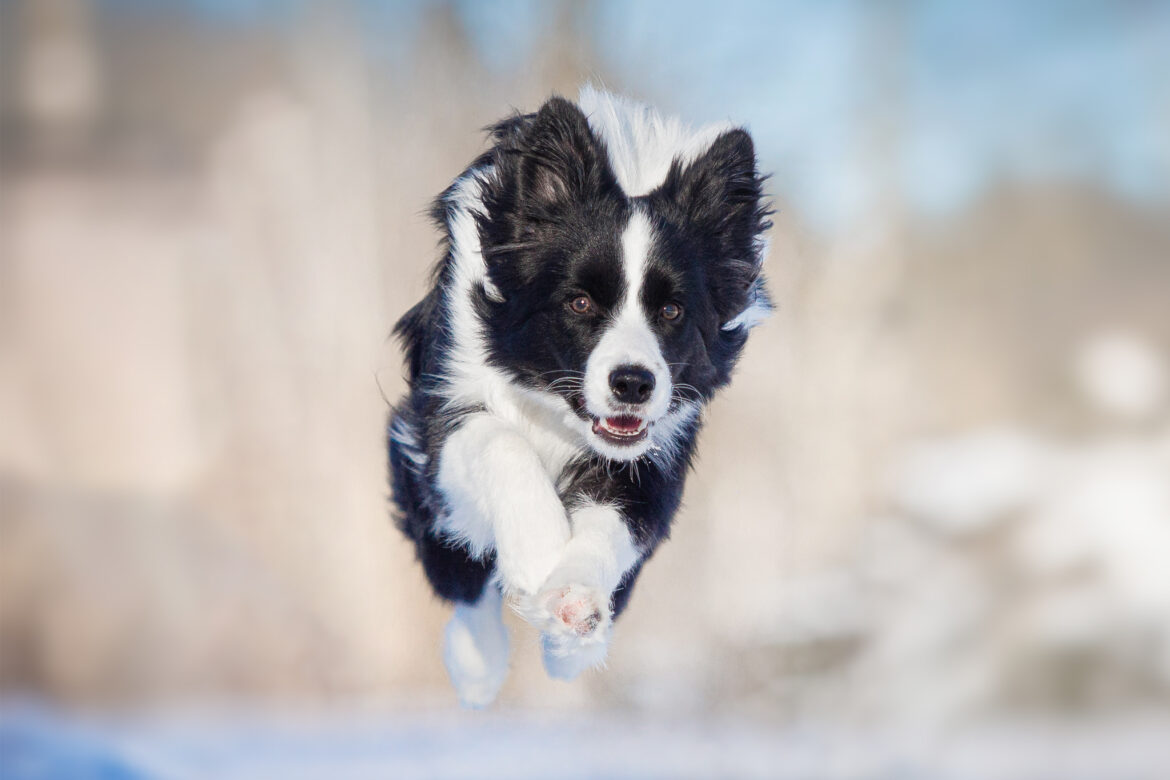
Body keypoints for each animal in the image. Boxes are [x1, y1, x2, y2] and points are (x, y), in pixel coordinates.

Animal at [388, 87, 772, 706]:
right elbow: (498, 441)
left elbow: (617, 521)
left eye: (672, 310)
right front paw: (540, 551)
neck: (554, 409)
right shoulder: (440, 412)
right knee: (463, 581)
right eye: (580, 303)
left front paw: (574, 603)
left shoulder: (656, 452)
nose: (633, 383)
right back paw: (477, 665)